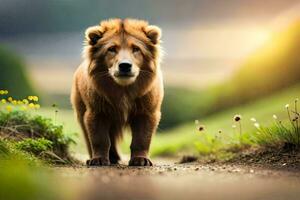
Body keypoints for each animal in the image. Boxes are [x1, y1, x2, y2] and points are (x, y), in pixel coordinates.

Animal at [71, 18, 164, 166]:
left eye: (136, 49)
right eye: (111, 49)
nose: (125, 65)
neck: (123, 90)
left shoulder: (146, 108)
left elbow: (142, 138)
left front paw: (141, 159)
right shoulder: (97, 109)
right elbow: (99, 138)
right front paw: (99, 159)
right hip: (80, 104)